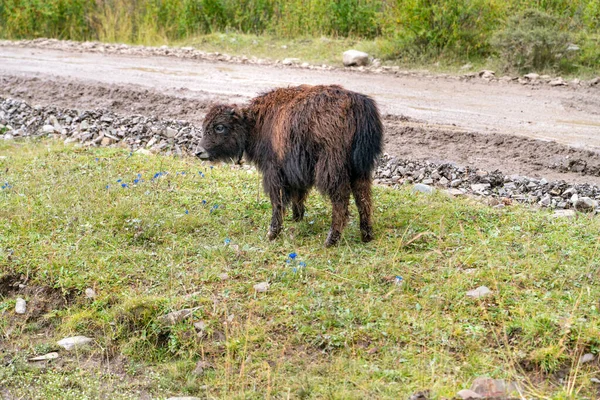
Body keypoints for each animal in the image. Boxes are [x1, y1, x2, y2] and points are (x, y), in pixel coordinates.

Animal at [197, 84, 384, 247]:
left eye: (220, 127)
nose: (199, 152)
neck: (254, 123)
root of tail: (357, 103)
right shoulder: (296, 172)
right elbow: (298, 195)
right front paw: (297, 217)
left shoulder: (274, 172)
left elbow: (278, 201)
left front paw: (272, 233)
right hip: (360, 169)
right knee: (363, 198)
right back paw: (366, 235)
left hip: (332, 169)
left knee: (341, 201)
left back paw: (330, 241)